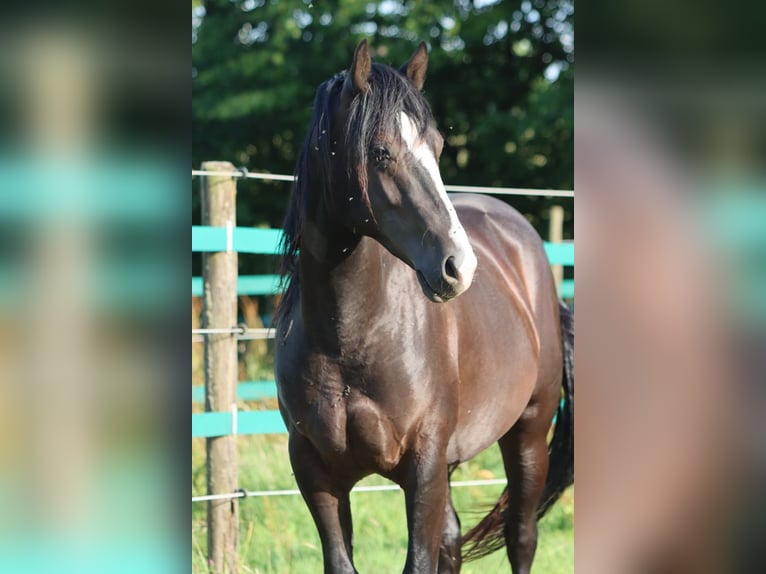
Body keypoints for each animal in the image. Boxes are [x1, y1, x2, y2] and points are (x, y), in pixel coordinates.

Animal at [274, 39, 573, 574]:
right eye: (380, 151)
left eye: (435, 148)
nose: (459, 266)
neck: (348, 337)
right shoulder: (315, 473)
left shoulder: (425, 466)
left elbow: (419, 560)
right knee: (452, 543)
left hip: (529, 433)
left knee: (521, 536)